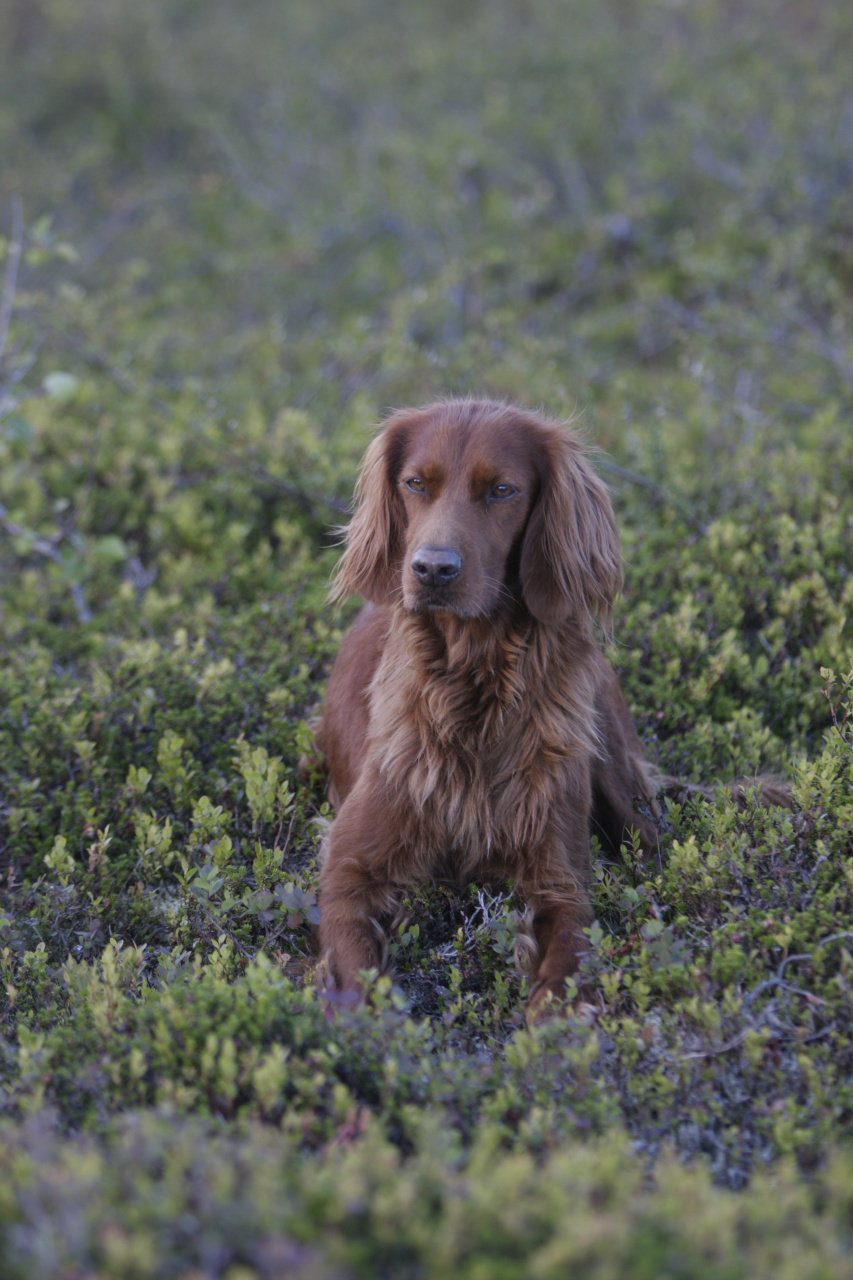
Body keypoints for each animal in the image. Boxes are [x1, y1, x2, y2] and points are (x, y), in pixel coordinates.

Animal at [308, 399, 788, 1018]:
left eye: (502, 490)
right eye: (415, 484)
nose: (432, 570)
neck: (474, 689)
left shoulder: (559, 876)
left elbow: (568, 955)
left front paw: (551, 1021)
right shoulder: (348, 866)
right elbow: (354, 971)